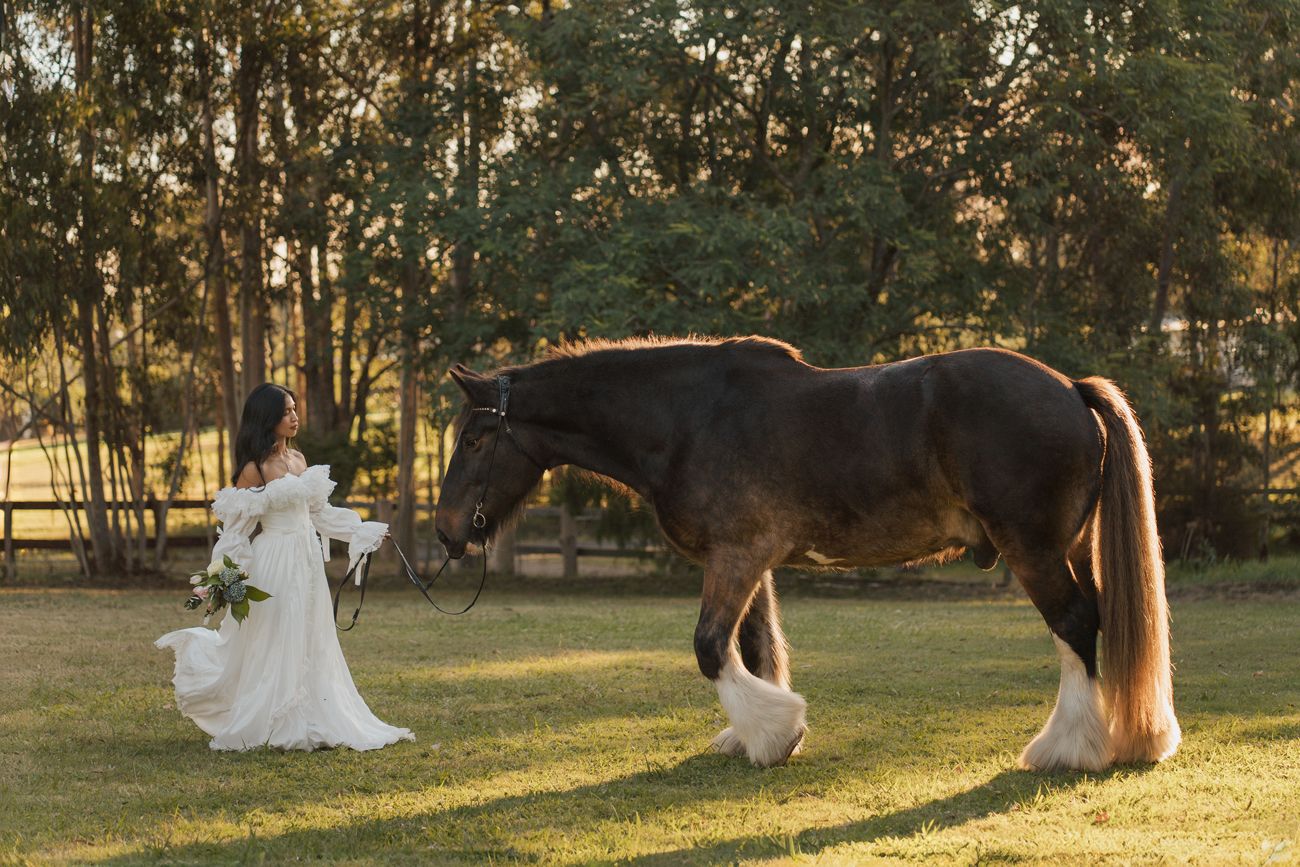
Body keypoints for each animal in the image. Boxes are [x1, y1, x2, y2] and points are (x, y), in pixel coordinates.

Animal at [433, 336, 1181, 772]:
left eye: (473, 439)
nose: (445, 532)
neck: (688, 418)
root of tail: (1070, 389)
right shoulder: (745, 561)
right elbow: (754, 646)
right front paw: (755, 732)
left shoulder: (736, 557)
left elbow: (711, 646)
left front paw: (774, 735)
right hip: (1066, 549)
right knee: (1090, 624)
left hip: (1036, 550)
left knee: (1076, 625)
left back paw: (1068, 749)